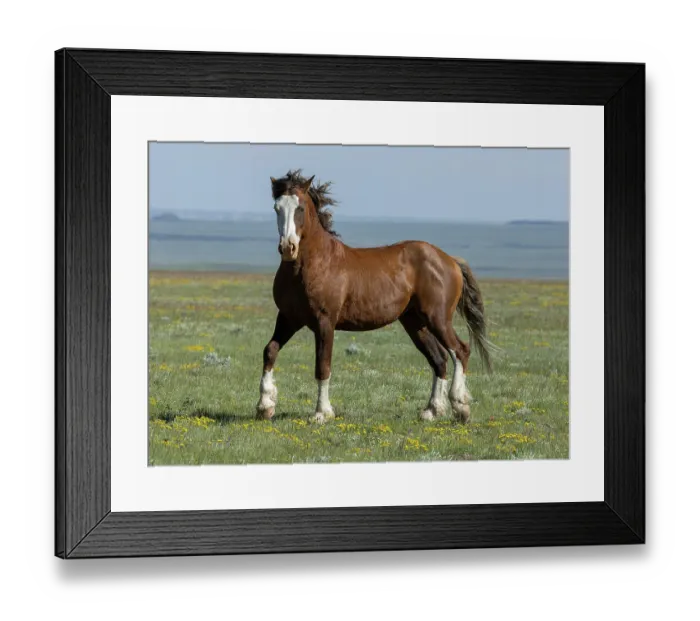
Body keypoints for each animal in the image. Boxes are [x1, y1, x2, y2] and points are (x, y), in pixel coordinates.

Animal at [256, 170, 492, 424]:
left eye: (299, 207)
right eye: (277, 208)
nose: (288, 248)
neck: (311, 265)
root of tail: (450, 260)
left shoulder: (324, 322)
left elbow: (323, 366)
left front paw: (322, 413)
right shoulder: (288, 318)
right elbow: (270, 350)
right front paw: (265, 407)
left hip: (437, 318)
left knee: (460, 350)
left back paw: (460, 407)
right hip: (414, 322)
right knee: (439, 358)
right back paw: (432, 410)